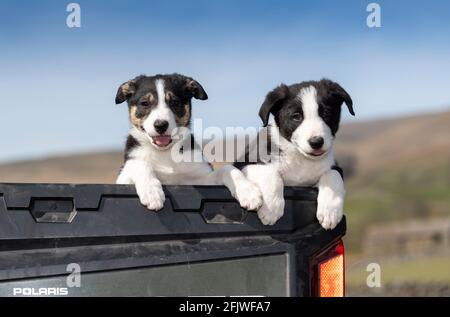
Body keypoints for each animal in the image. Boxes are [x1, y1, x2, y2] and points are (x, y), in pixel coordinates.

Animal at [115, 74, 264, 211]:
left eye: (174, 102)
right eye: (145, 103)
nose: (160, 125)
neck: (166, 152)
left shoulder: (203, 180)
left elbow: (227, 169)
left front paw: (248, 191)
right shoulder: (123, 177)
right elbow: (140, 165)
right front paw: (151, 192)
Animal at [236, 78, 356, 228]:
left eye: (326, 113)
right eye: (296, 117)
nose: (316, 142)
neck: (300, 158)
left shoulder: (335, 166)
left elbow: (333, 174)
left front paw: (330, 212)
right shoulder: (247, 163)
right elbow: (271, 173)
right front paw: (271, 208)